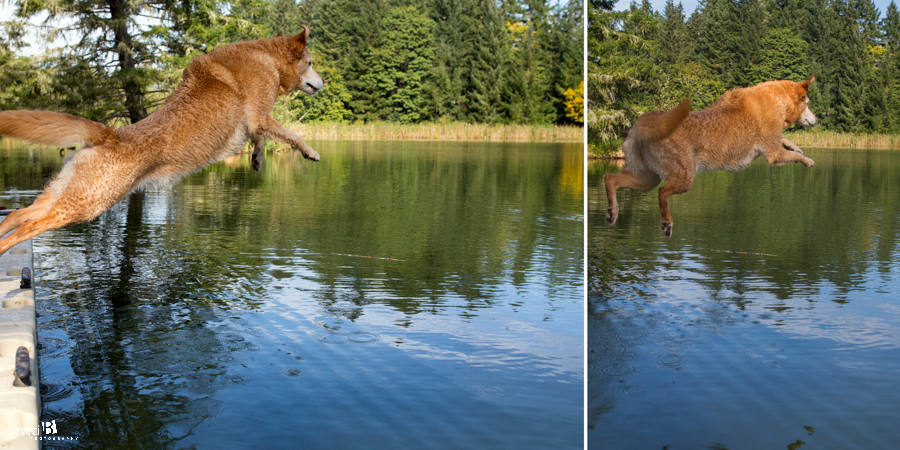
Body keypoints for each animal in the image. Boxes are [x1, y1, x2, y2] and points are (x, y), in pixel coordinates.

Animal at [0, 26, 324, 255]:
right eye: (310, 63)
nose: (323, 82)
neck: (266, 57)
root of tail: (110, 134)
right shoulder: (260, 114)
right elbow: (290, 133)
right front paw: (310, 151)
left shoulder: (254, 121)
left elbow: (260, 137)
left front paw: (257, 158)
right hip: (87, 204)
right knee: (27, 225)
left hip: (66, 193)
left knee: (16, 214)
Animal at [604, 75, 816, 237]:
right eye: (807, 104)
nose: (817, 120)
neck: (777, 101)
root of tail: (647, 121)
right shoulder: (773, 153)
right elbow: (792, 154)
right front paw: (807, 160)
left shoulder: (773, 143)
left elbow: (786, 142)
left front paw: (795, 146)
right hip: (683, 177)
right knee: (662, 192)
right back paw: (666, 223)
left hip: (646, 179)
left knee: (610, 178)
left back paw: (612, 213)